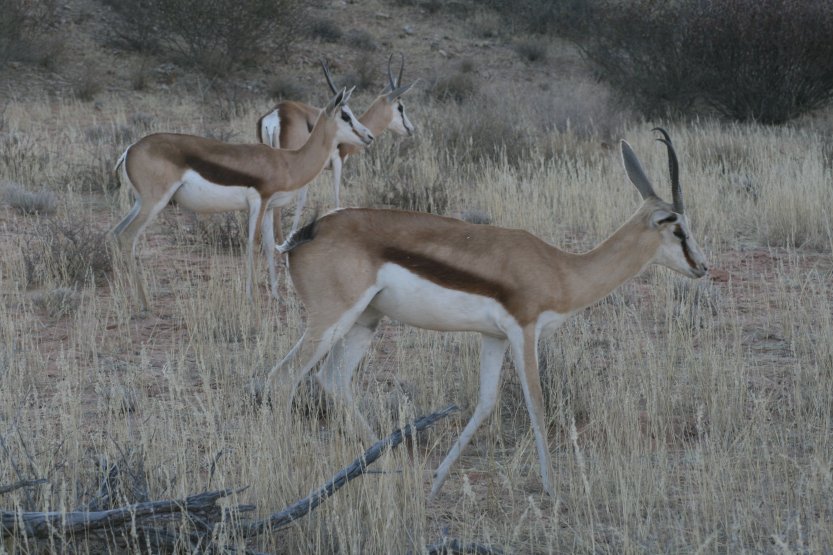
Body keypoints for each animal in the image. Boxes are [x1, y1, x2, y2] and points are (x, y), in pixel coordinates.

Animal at [111, 83, 374, 308]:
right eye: (345, 115)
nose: (369, 136)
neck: (287, 162)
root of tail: (129, 149)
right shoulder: (259, 202)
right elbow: (252, 244)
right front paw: (251, 298)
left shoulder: (269, 207)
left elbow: (269, 245)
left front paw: (278, 297)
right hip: (155, 202)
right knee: (128, 236)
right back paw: (144, 304)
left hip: (140, 202)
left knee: (116, 232)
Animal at [255, 129, 708, 500]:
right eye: (678, 228)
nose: (703, 266)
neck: (561, 269)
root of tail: (306, 234)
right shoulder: (525, 331)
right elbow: (536, 403)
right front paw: (552, 489)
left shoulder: (494, 337)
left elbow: (486, 403)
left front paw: (437, 481)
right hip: (332, 319)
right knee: (282, 378)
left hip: (365, 322)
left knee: (331, 379)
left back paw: (390, 465)